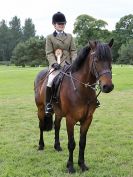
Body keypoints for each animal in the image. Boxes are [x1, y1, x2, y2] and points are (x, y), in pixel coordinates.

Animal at [34, 38, 114, 173]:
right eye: (96, 60)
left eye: (110, 60)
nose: (108, 86)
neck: (81, 88)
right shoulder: (70, 119)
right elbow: (71, 143)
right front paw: (70, 166)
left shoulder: (87, 119)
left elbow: (82, 142)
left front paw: (82, 164)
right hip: (40, 109)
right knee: (41, 125)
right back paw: (41, 145)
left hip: (59, 112)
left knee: (57, 126)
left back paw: (57, 146)